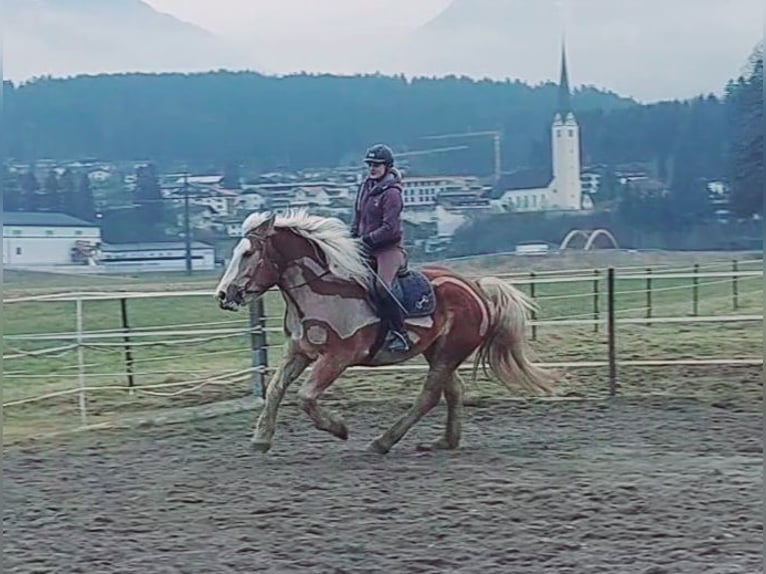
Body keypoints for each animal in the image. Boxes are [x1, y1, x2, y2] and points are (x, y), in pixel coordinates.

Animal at [216, 209, 560, 456]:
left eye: (248, 254)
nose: (223, 295)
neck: (320, 293)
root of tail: (476, 288)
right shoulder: (299, 352)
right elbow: (276, 389)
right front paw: (261, 439)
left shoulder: (337, 358)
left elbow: (306, 397)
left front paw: (339, 428)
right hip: (439, 351)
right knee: (453, 391)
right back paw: (444, 442)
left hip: (449, 352)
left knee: (428, 396)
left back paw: (383, 442)